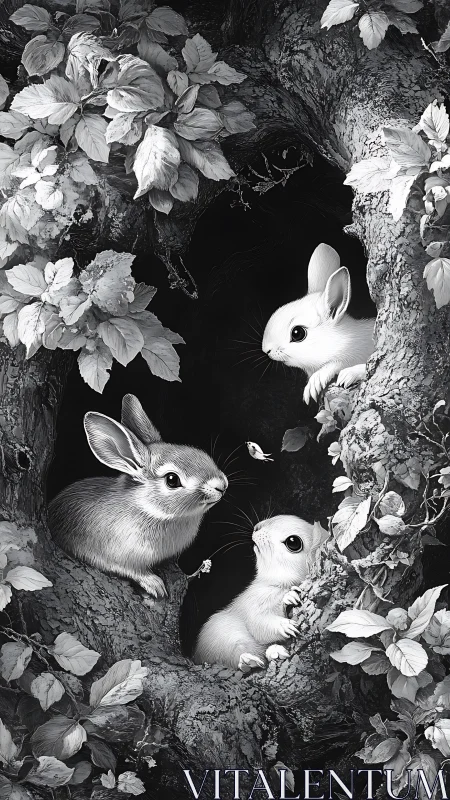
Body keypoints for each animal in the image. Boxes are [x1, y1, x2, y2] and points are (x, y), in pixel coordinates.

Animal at [48, 394, 228, 599]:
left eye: (200, 453)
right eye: (172, 480)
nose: (222, 485)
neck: (147, 508)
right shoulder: (115, 555)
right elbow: (131, 570)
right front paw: (156, 586)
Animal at [193, 515, 328, 671]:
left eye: (293, 542)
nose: (257, 527)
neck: (277, 583)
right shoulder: (253, 603)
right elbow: (259, 622)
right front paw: (286, 616)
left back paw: (273, 652)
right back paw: (247, 661)